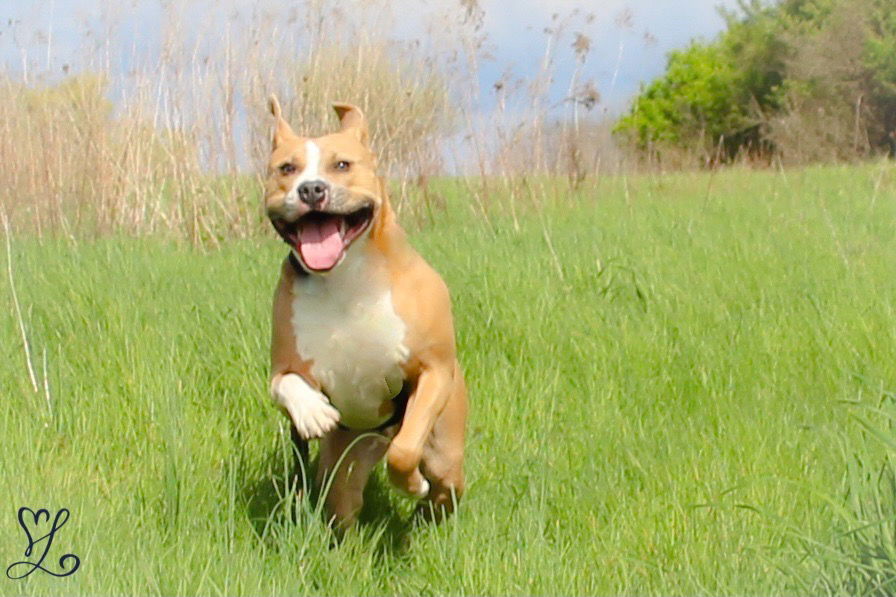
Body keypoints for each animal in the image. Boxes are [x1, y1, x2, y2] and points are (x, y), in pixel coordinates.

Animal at [260, 94, 466, 528]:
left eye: (342, 165)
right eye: (287, 169)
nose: (311, 189)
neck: (344, 279)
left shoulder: (434, 371)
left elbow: (404, 453)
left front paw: (412, 485)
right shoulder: (283, 365)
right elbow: (285, 384)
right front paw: (312, 412)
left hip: (445, 449)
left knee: (443, 484)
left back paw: (426, 509)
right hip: (345, 464)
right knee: (343, 500)